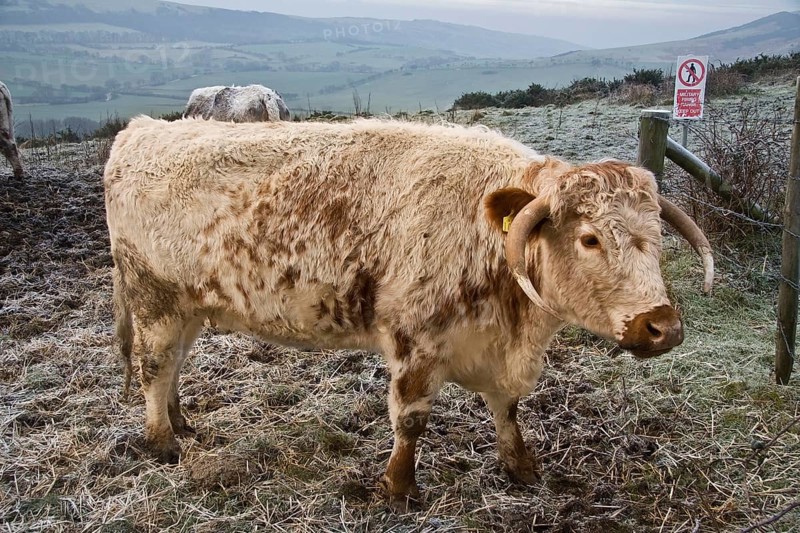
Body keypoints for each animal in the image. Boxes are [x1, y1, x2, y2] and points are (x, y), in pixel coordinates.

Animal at [104, 116, 714, 512]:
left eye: (657, 237)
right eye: (589, 239)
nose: (662, 326)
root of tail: (142, 129)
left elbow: (508, 409)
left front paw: (521, 467)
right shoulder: (414, 344)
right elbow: (411, 420)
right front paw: (397, 488)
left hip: (188, 307)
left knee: (174, 365)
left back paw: (181, 421)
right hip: (154, 299)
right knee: (155, 367)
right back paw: (162, 441)